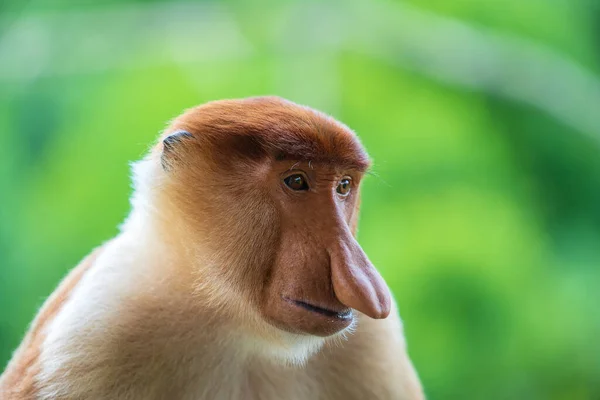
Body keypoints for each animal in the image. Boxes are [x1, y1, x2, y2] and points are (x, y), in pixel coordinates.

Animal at [1, 97, 422, 400]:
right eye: (296, 181)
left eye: (344, 186)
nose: (366, 285)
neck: (233, 322)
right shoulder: (96, 332)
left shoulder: (371, 344)